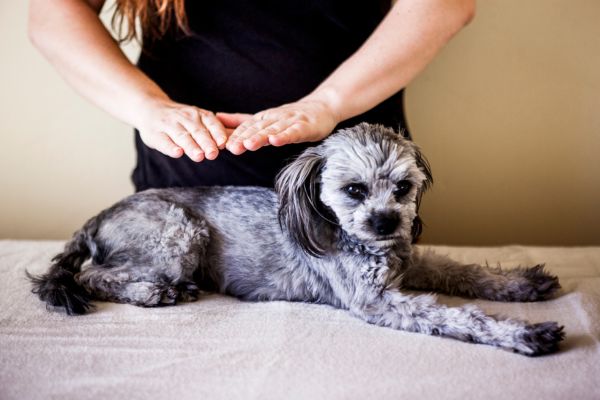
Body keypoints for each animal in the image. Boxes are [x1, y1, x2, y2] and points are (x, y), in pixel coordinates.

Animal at [27, 122, 564, 356]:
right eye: (354, 190)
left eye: (403, 188)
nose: (387, 223)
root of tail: (96, 219)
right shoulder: (376, 300)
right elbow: (460, 316)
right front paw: (523, 333)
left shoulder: (410, 262)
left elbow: (462, 270)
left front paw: (521, 285)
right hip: (179, 234)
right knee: (94, 275)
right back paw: (154, 292)